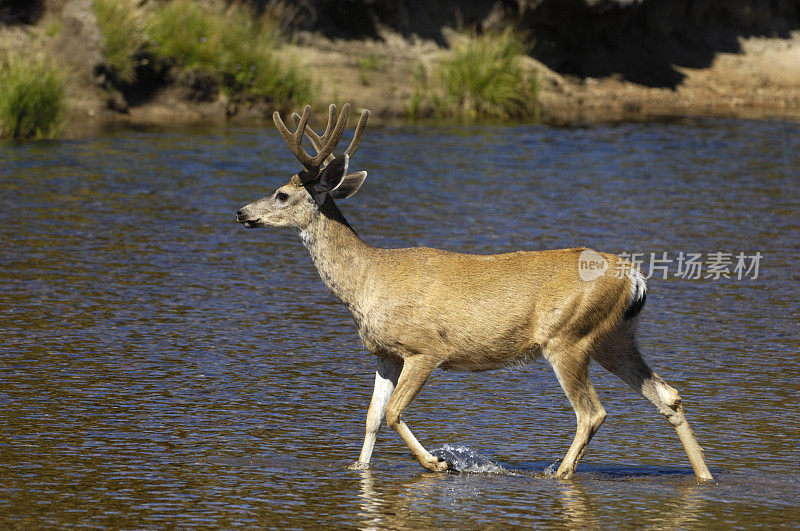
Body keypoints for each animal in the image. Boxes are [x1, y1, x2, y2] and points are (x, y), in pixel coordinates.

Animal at [236, 104, 712, 482]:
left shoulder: (426, 348)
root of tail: (634, 277)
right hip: (614, 337)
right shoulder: (384, 353)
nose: (242, 211)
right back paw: (704, 475)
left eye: (281, 194)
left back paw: (559, 472)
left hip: (568, 337)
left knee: (592, 412)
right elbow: (371, 417)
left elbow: (392, 413)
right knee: (668, 396)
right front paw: (360, 468)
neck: (366, 282)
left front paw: (439, 463)